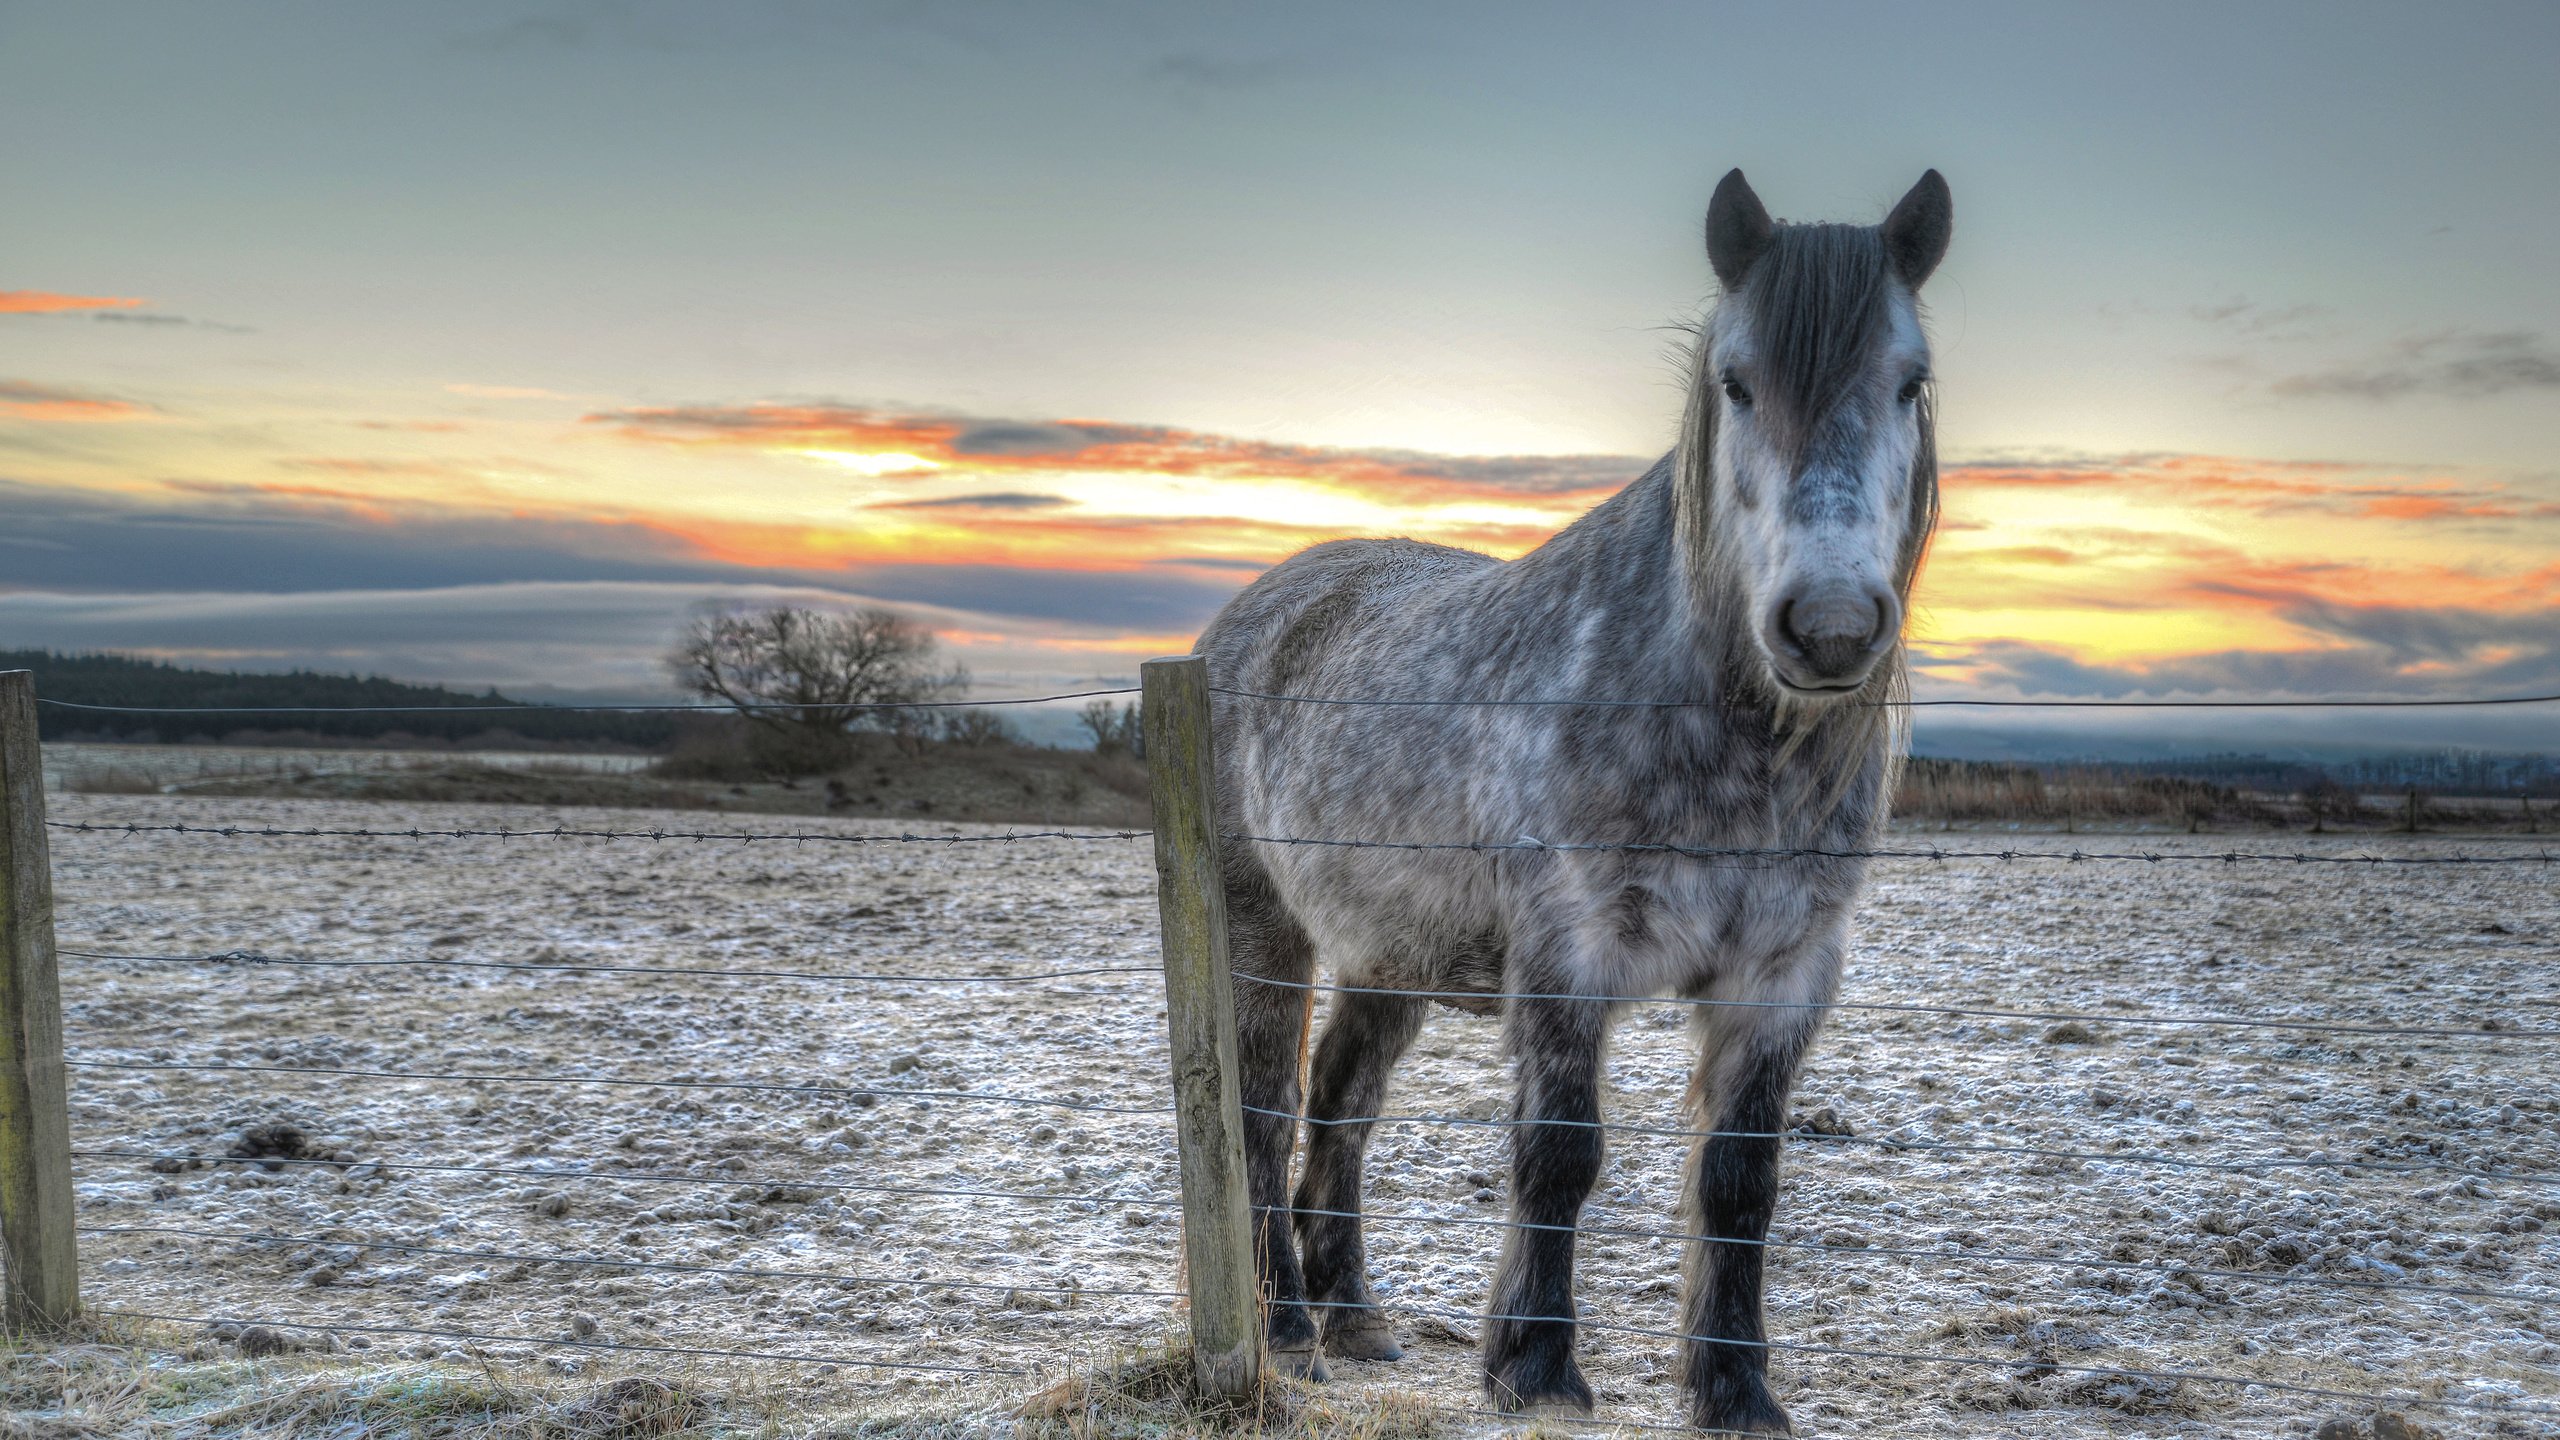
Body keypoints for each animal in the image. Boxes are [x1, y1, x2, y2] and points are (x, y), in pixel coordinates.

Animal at [1187, 167, 1945, 1424]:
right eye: (1736, 383)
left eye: (1910, 381)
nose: (1829, 626)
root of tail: (1254, 610)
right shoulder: (1567, 959)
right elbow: (1560, 1151)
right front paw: (1534, 1367)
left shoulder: (1781, 978)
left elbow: (1741, 1179)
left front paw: (1733, 1388)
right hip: (1263, 934)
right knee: (1263, 1115)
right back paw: (1290, 1328)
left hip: (1390, 953)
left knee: (1343, 1103)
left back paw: (1355, 1318)